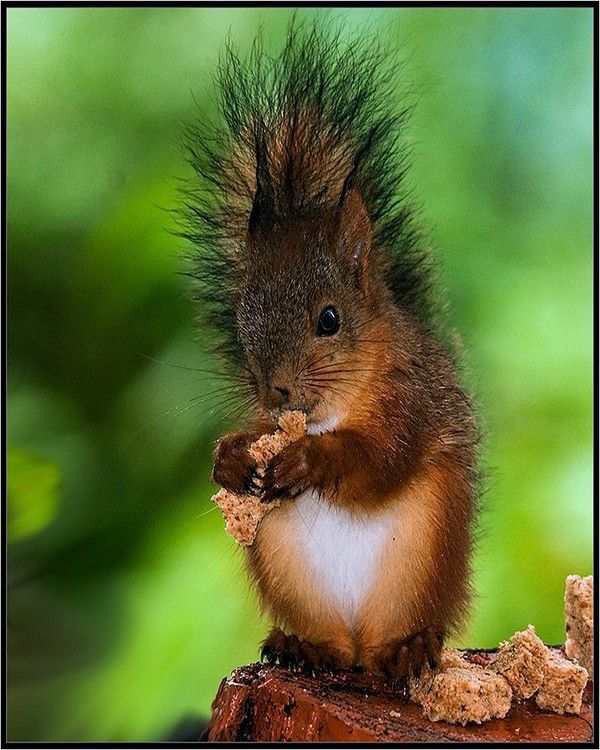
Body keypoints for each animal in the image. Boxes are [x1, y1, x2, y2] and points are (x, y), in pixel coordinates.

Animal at [182, 23, 479, 682]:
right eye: (241, 319)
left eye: (329, 319)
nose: (276, 389)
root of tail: (362, 645)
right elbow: (252, 439)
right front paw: (232, 458)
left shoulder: (412, 400)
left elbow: (382, 459)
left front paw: (310, 461)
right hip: (289, 573)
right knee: (334, 646)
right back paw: (306, 648)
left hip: (424, 563)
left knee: (403, 632)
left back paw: (409, 647)